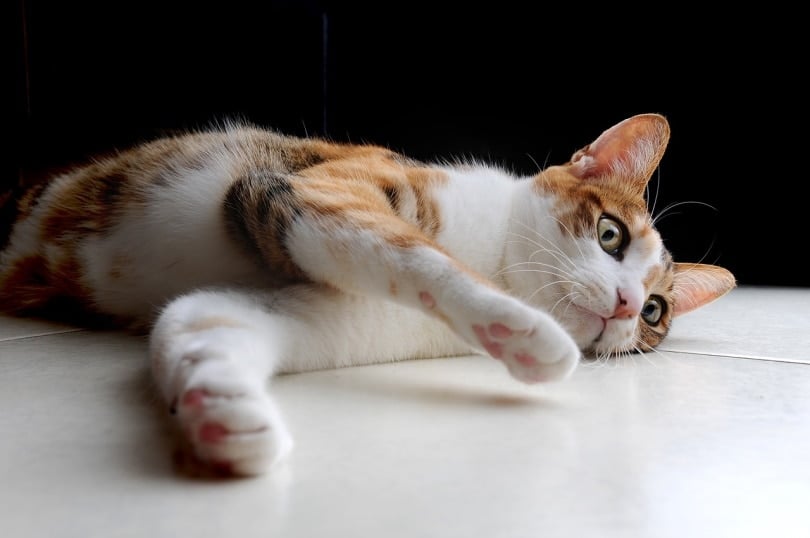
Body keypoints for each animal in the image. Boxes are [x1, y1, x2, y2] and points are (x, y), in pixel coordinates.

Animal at [0, 114, 732, 474]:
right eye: (611, 234)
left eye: (656, 313)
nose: (627, 305)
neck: (497, 259)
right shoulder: (309, 190)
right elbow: (412, 252)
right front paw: (526, 332)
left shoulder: (336, 313)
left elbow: (203, 319)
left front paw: (224, 414)